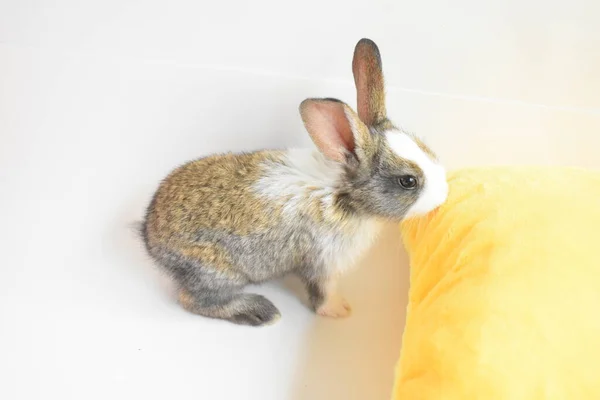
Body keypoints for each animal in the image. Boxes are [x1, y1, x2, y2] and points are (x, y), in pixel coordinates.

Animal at [141, 38, 448, 324]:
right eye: (408, 181)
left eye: (425, 147)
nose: (443, 196)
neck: (344, 195)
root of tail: (149, 236)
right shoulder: (322, 260)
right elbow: (322, 290)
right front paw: (339, 310)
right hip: (216, 272)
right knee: (194, 300)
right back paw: (260, 311)